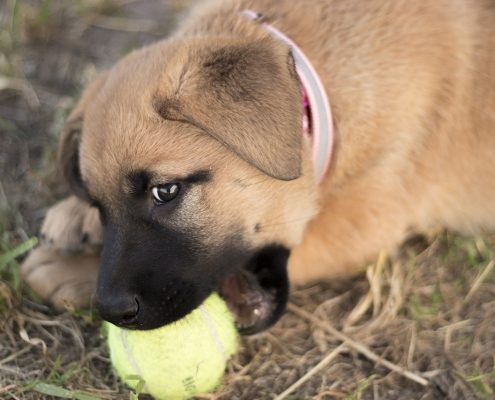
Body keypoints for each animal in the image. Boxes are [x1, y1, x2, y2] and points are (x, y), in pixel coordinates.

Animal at [21, 0, 495, 332]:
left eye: (165, 191)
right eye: (99, 206)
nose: (111, 309)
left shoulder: (366, 219)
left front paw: (69, 270)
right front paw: (74, 216)